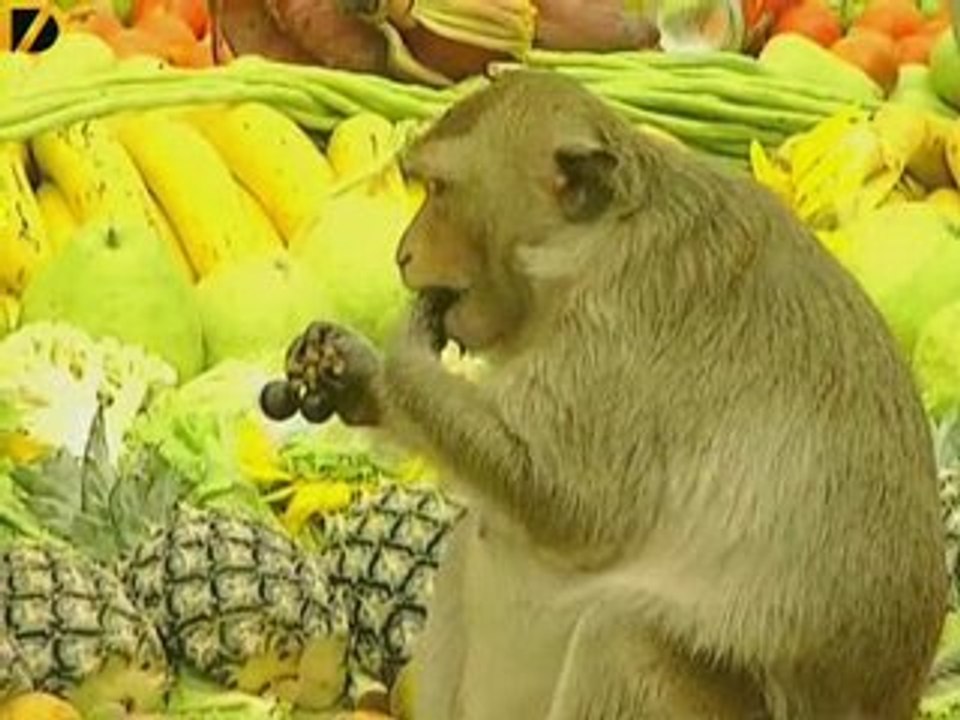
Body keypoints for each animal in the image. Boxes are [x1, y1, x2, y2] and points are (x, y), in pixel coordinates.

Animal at [263, 70, 949, 719]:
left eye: (439, 191)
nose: (403, 254)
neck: (588, 251)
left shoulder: (622, 328)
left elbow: (567, 501)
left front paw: (389, 360)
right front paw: (348, 373)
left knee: (621, 641)